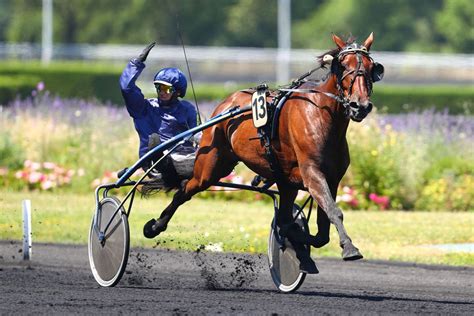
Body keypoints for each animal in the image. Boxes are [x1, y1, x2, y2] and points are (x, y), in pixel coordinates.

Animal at [143, 32, 386, 262]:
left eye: (372, 68)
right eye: (343, 65)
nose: (360, 105)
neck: (321, 115)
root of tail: (226, 103)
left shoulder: (331, 179)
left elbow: (321, 231)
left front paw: (296, 236)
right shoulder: (313, 174)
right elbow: (334, 212)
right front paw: (350, 248)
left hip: (284, 180)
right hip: (210, 166)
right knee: (185, 189)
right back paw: (154, 226)